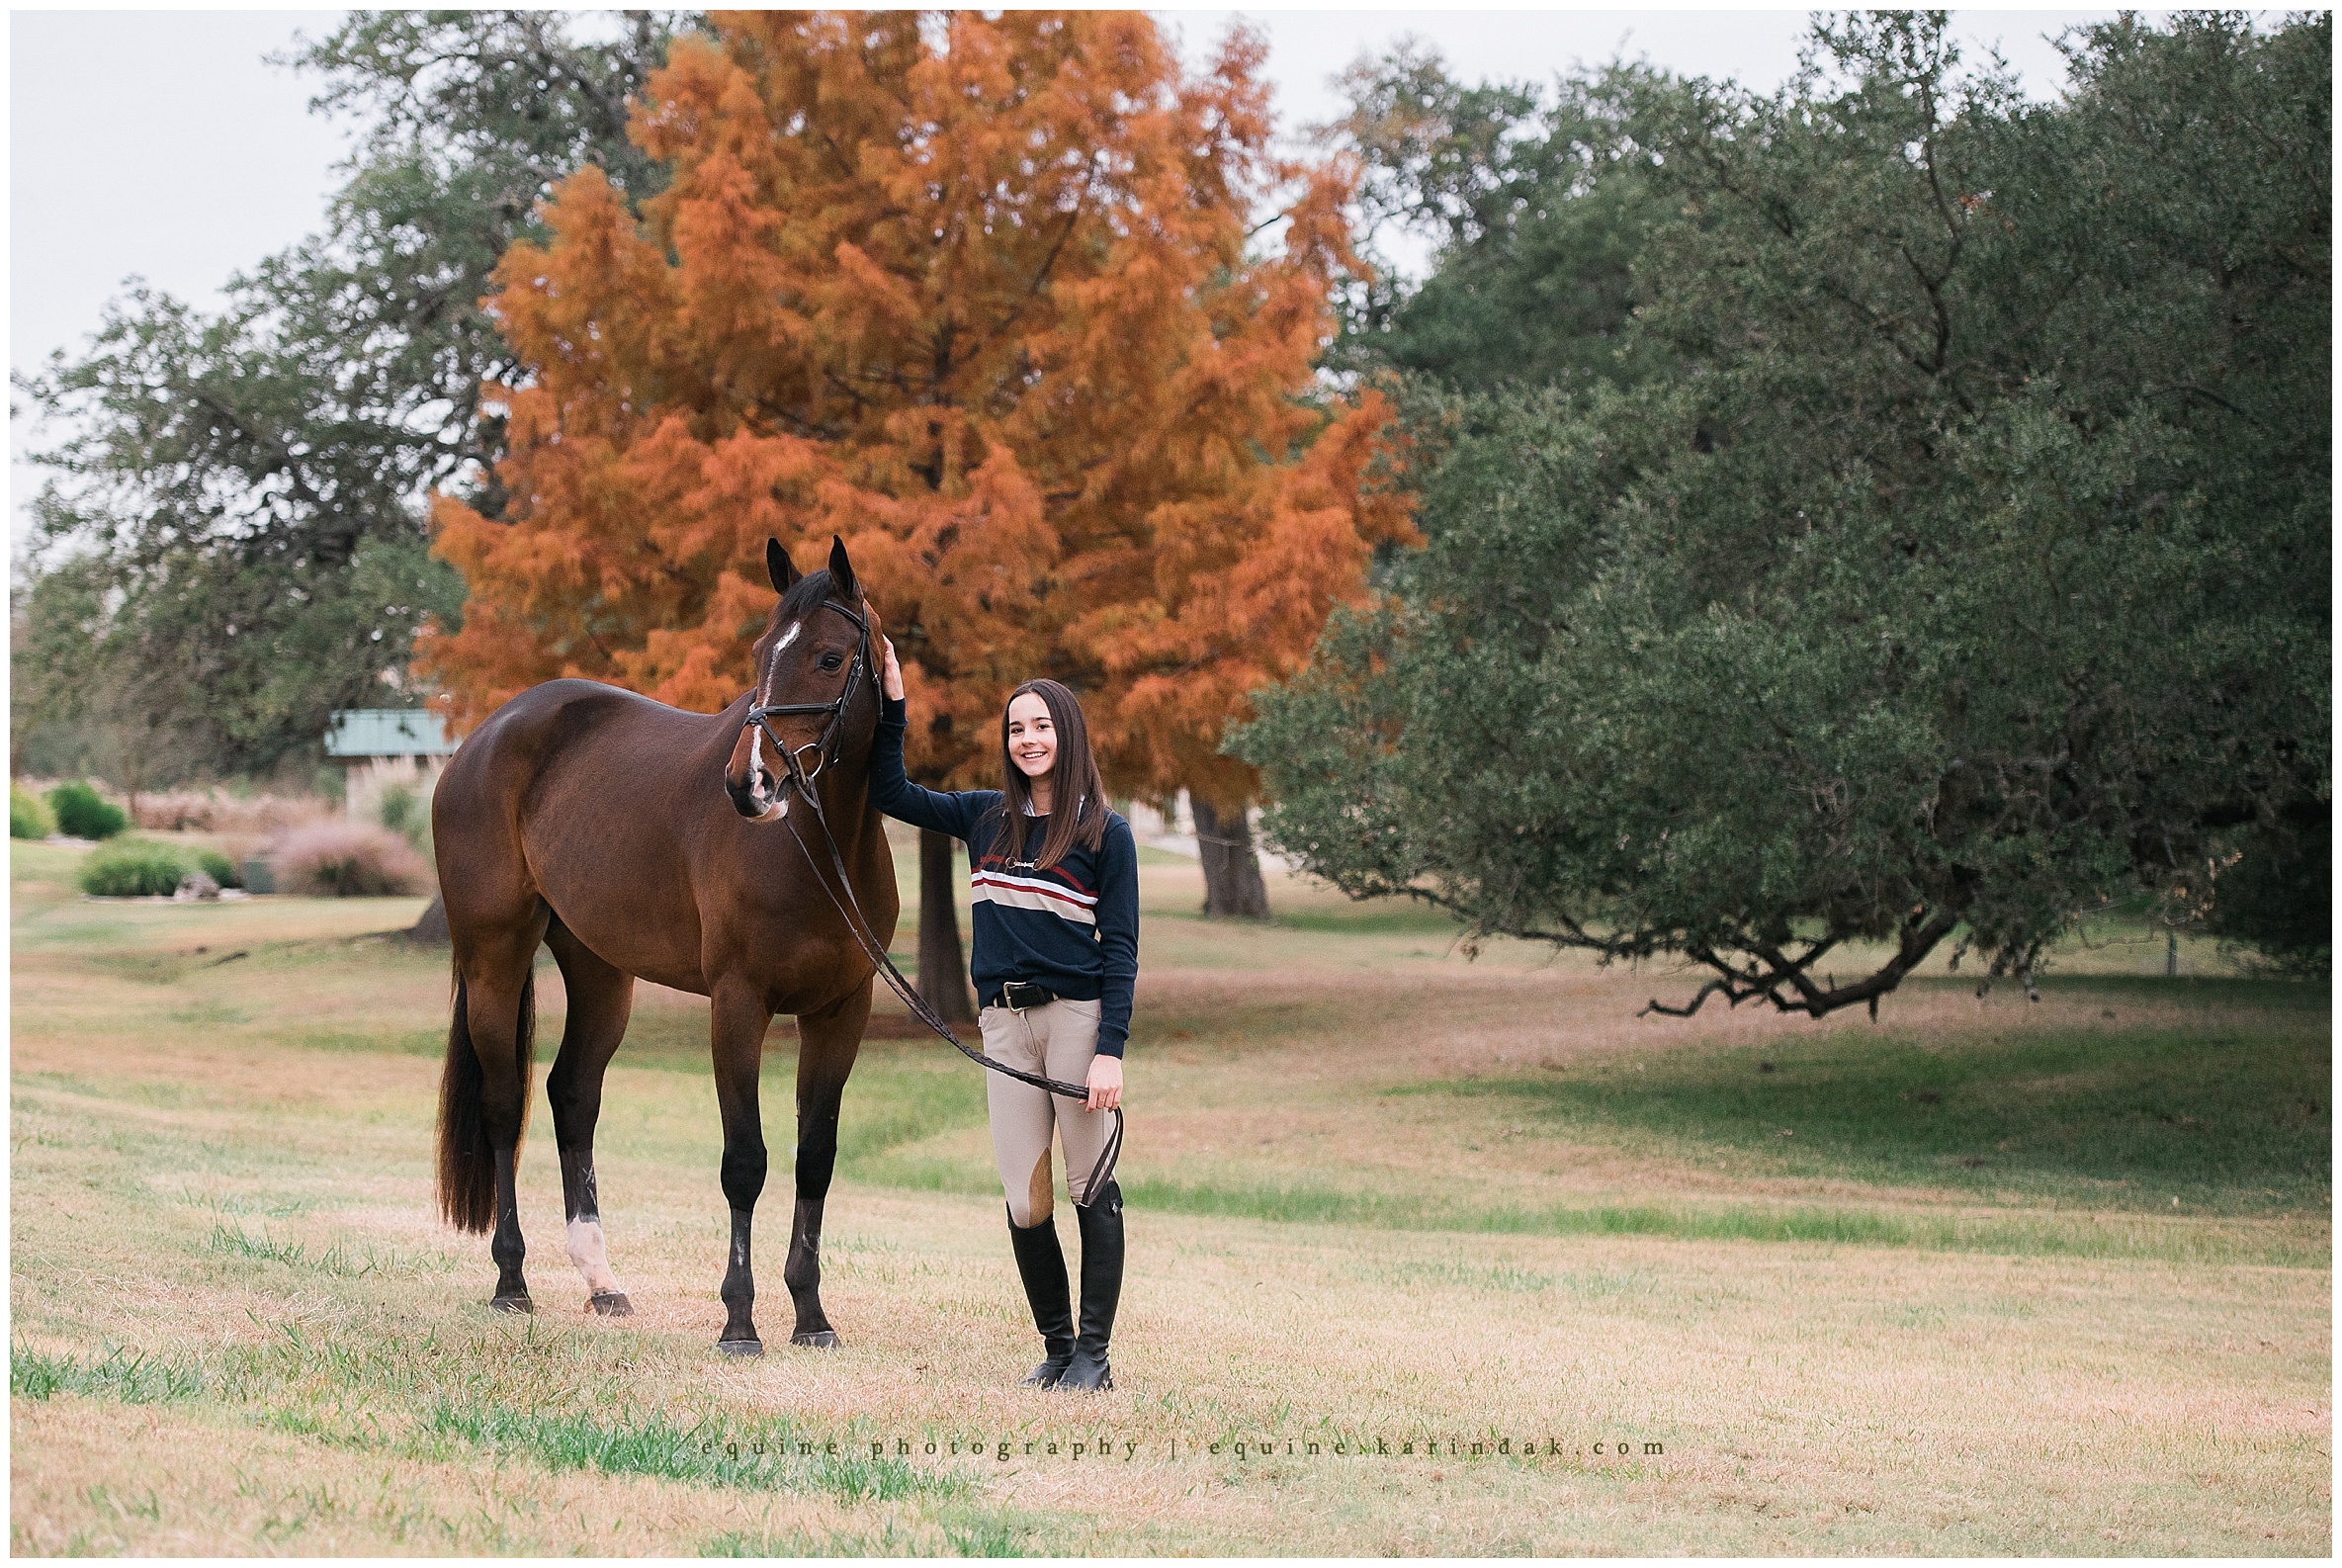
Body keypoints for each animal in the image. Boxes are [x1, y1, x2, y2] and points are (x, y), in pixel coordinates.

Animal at [430, 535, 895, 1355]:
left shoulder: (842, 1010)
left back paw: (601, 1281)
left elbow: (815, 1159)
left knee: (571, 1095)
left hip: (600, 970)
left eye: (830, 658)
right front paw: (739, 1323)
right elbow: (745, 1162)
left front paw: (811, 1316)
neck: (819, 847)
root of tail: (487, 735)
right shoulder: (738, 1005)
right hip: (494, 957)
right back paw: (511, 1282)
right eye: (759, 653)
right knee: (502, 1104)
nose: (749, 784)